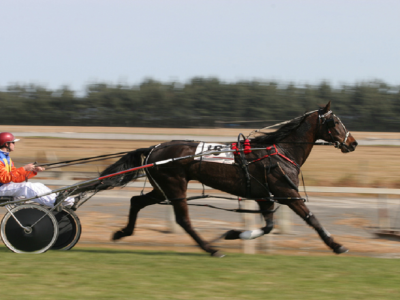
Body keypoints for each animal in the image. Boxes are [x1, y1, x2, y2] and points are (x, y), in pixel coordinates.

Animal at [87, 102, 356, 256]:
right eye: (335, 121)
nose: (352, 143)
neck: (278, 152)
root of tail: (154, 148)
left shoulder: (264, 196)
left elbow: (269, 226)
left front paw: (235, 234)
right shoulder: (286, 192)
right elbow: (312, 219)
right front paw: (337, 245)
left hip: (162, 188)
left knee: (136, 201)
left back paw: (122, 233)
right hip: (175, 186)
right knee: (183, 220)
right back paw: (211, 249)